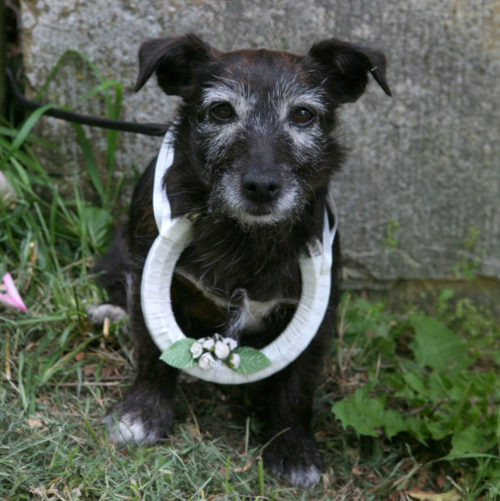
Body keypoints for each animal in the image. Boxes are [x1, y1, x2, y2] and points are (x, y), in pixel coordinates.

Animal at [90, 33, 390, 486]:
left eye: (303, 114)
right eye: (221, 111)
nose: (262, 186)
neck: (244, 237)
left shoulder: (319, 317)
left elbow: (297, 386)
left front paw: (293, 448)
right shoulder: (149, 282)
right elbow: (152, 357)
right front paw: (142, 415)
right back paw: (109, 310)